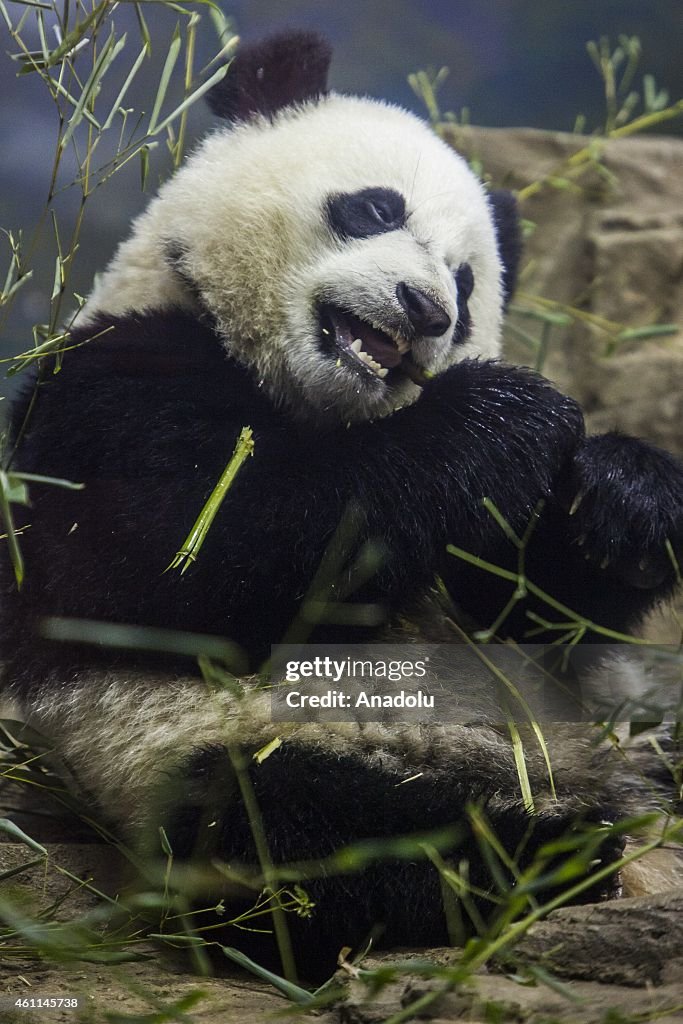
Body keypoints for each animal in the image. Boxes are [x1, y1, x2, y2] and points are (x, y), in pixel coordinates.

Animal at [1, 29, 683, 974]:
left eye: (466, 282)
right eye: (372, 208)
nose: (426, 311)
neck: (306, 396)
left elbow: (529, 606)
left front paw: (623, 496)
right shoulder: (105, 388)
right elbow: (184, 556)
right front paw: (502, 412)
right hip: (208, 747)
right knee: (317, 834)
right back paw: (553, 855)